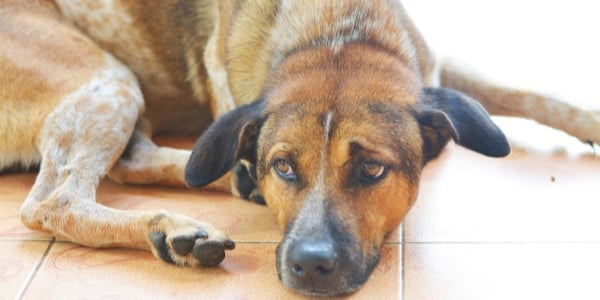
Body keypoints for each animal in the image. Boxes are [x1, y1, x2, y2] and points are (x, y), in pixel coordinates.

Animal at [1, 0, 600, 296]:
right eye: (284, 167)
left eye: (371, 169)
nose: (310, 266)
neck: (337, 33)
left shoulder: (433, 69)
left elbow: (532, 93)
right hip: (106, 79)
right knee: (53, 202)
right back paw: (174, 227)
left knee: (136, 160)